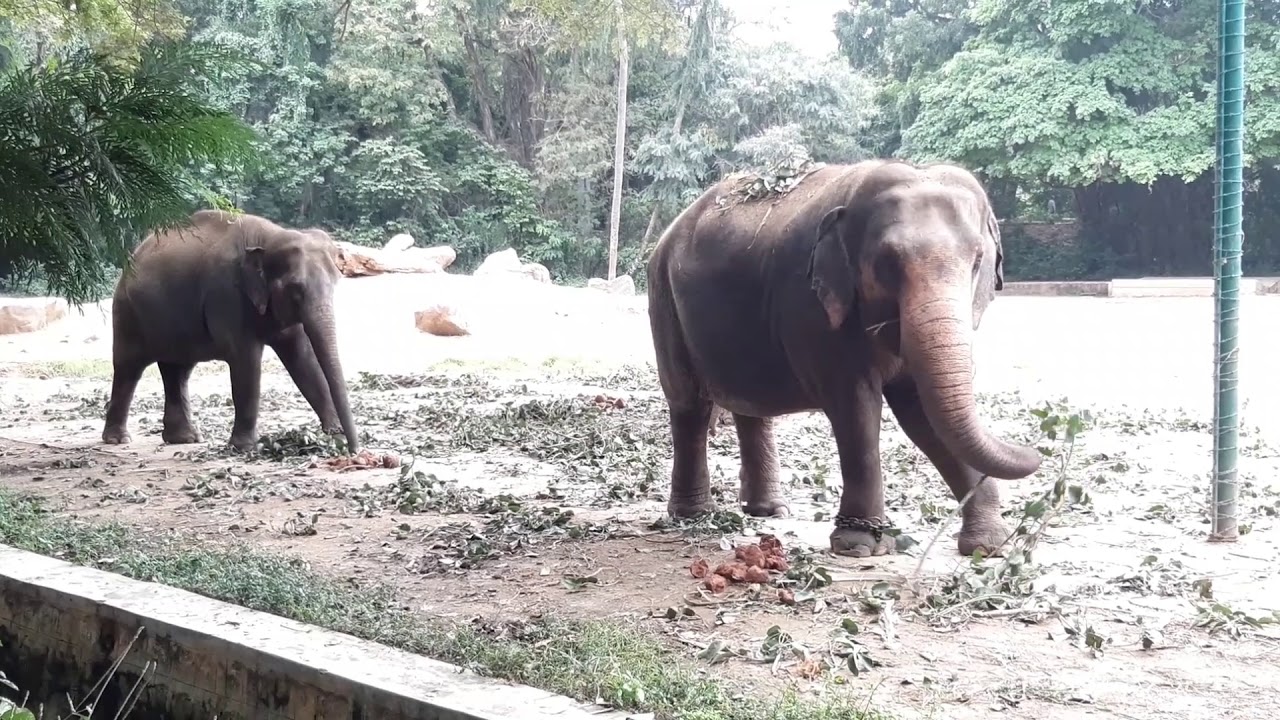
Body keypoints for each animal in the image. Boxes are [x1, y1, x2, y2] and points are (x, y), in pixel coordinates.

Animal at [101, 209, 361, 454]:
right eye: (295, 289)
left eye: (335, 284)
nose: (354, 450)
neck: (271, 237)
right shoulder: (227, 295)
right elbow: (246, 361)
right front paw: (245, 447)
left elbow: (303, 359)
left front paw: (334, 436)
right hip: (126, 313)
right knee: (129, 368)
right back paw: (118, 439)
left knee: (177, 370)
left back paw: (184, 439)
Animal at [646, 159, 1042, 558]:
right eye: (887, 262)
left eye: (977, 261)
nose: (1036, 452)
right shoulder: (812, 308)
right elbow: (856, 408)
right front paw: (858, 543)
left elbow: (921, 415)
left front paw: (990, 545)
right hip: (662, 296)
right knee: (688, 403)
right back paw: (694, 514)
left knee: (752, 407)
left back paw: (768, 510)